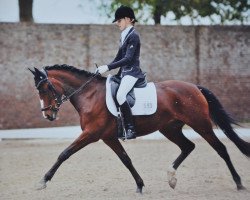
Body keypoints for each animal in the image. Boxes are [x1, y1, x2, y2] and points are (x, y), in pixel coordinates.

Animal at [28, 64, 249, 192]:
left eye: (45, 88)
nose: (47, 115)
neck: (89, 95)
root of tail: (195, 87)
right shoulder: (108, 137)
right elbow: (126, 159)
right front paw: (140, 185)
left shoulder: (91, 134)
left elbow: (64, 154)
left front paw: (43, 181)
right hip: (170, 128)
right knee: (188, 147)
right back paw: (171, 178)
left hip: (201, 124)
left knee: (221, 148)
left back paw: (238, 183)